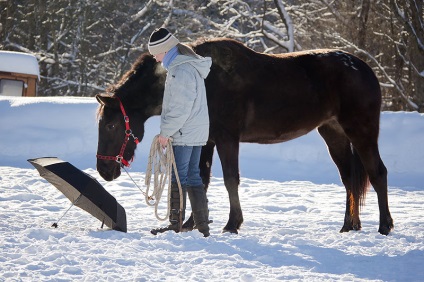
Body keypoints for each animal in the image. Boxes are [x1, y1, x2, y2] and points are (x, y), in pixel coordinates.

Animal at [96, 37, 394, 236]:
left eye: (110, 126)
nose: (104, 170)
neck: (204, 77)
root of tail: (365, 69)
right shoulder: (206, 141)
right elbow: (199, 180)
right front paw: (192, 223)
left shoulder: (227, 138)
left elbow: (230, 180)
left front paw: (232, 224)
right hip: (334, 133)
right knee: (349, 179)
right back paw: (348, 226)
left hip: (362, 131)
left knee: (377, 173)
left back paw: (384, 226)